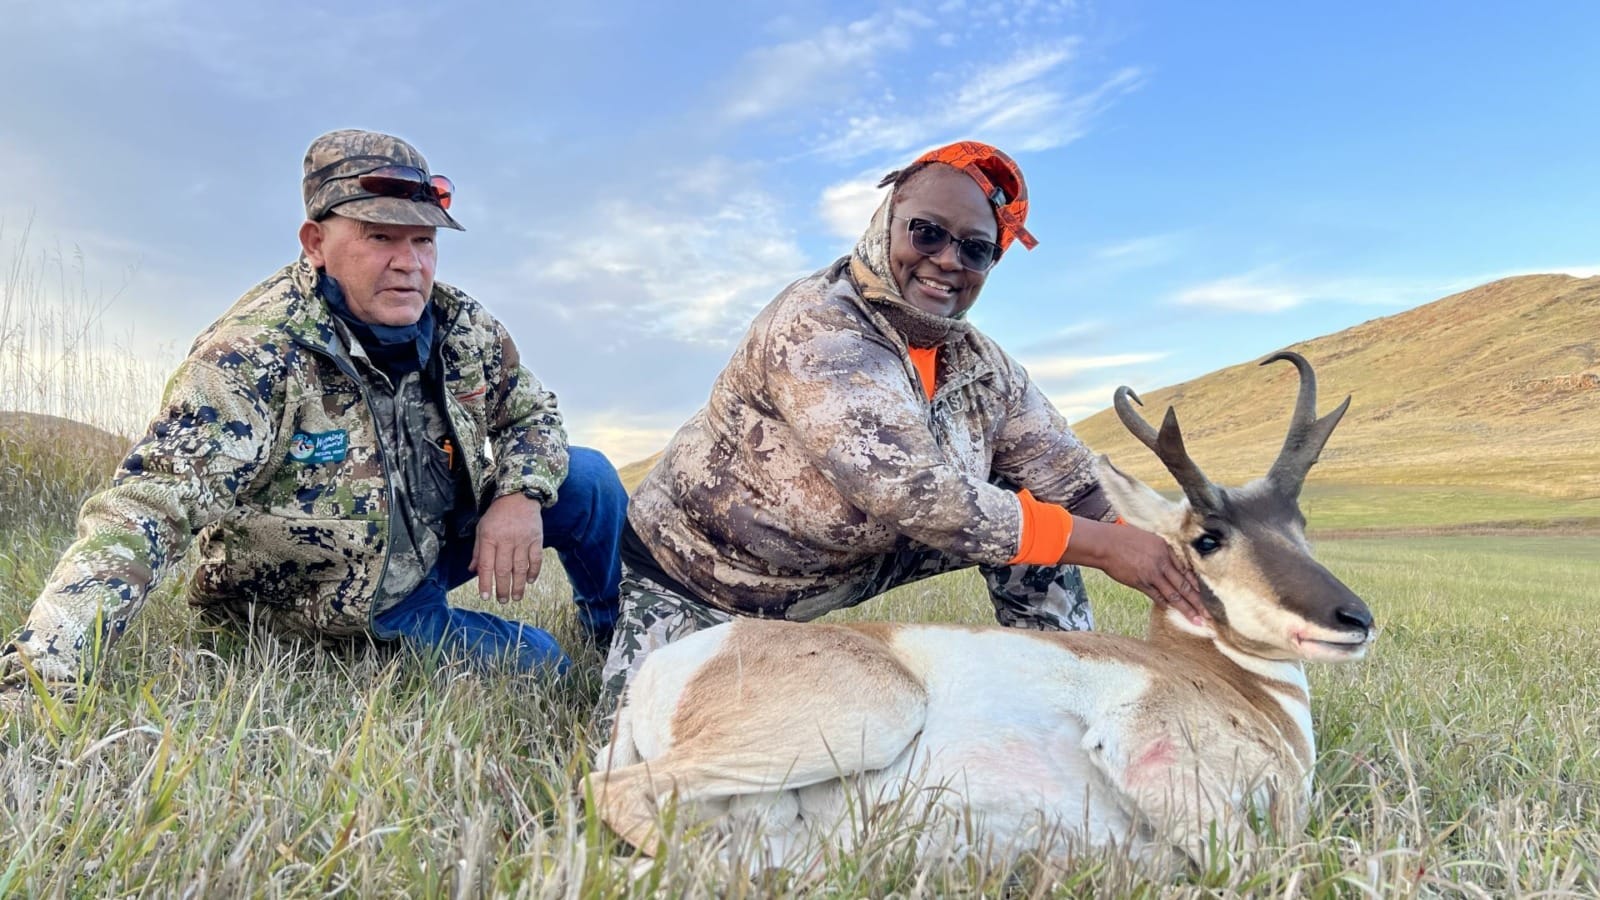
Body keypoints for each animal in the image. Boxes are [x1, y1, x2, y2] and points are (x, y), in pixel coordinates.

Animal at [586, 352, 1375, 873]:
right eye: (1208, 539)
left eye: (1299, 522)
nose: (1354, 619)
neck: (1224, 681)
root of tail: (665, 668)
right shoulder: (1153, 758)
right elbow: (1273, 865)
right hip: (867, 717)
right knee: (613, 792)